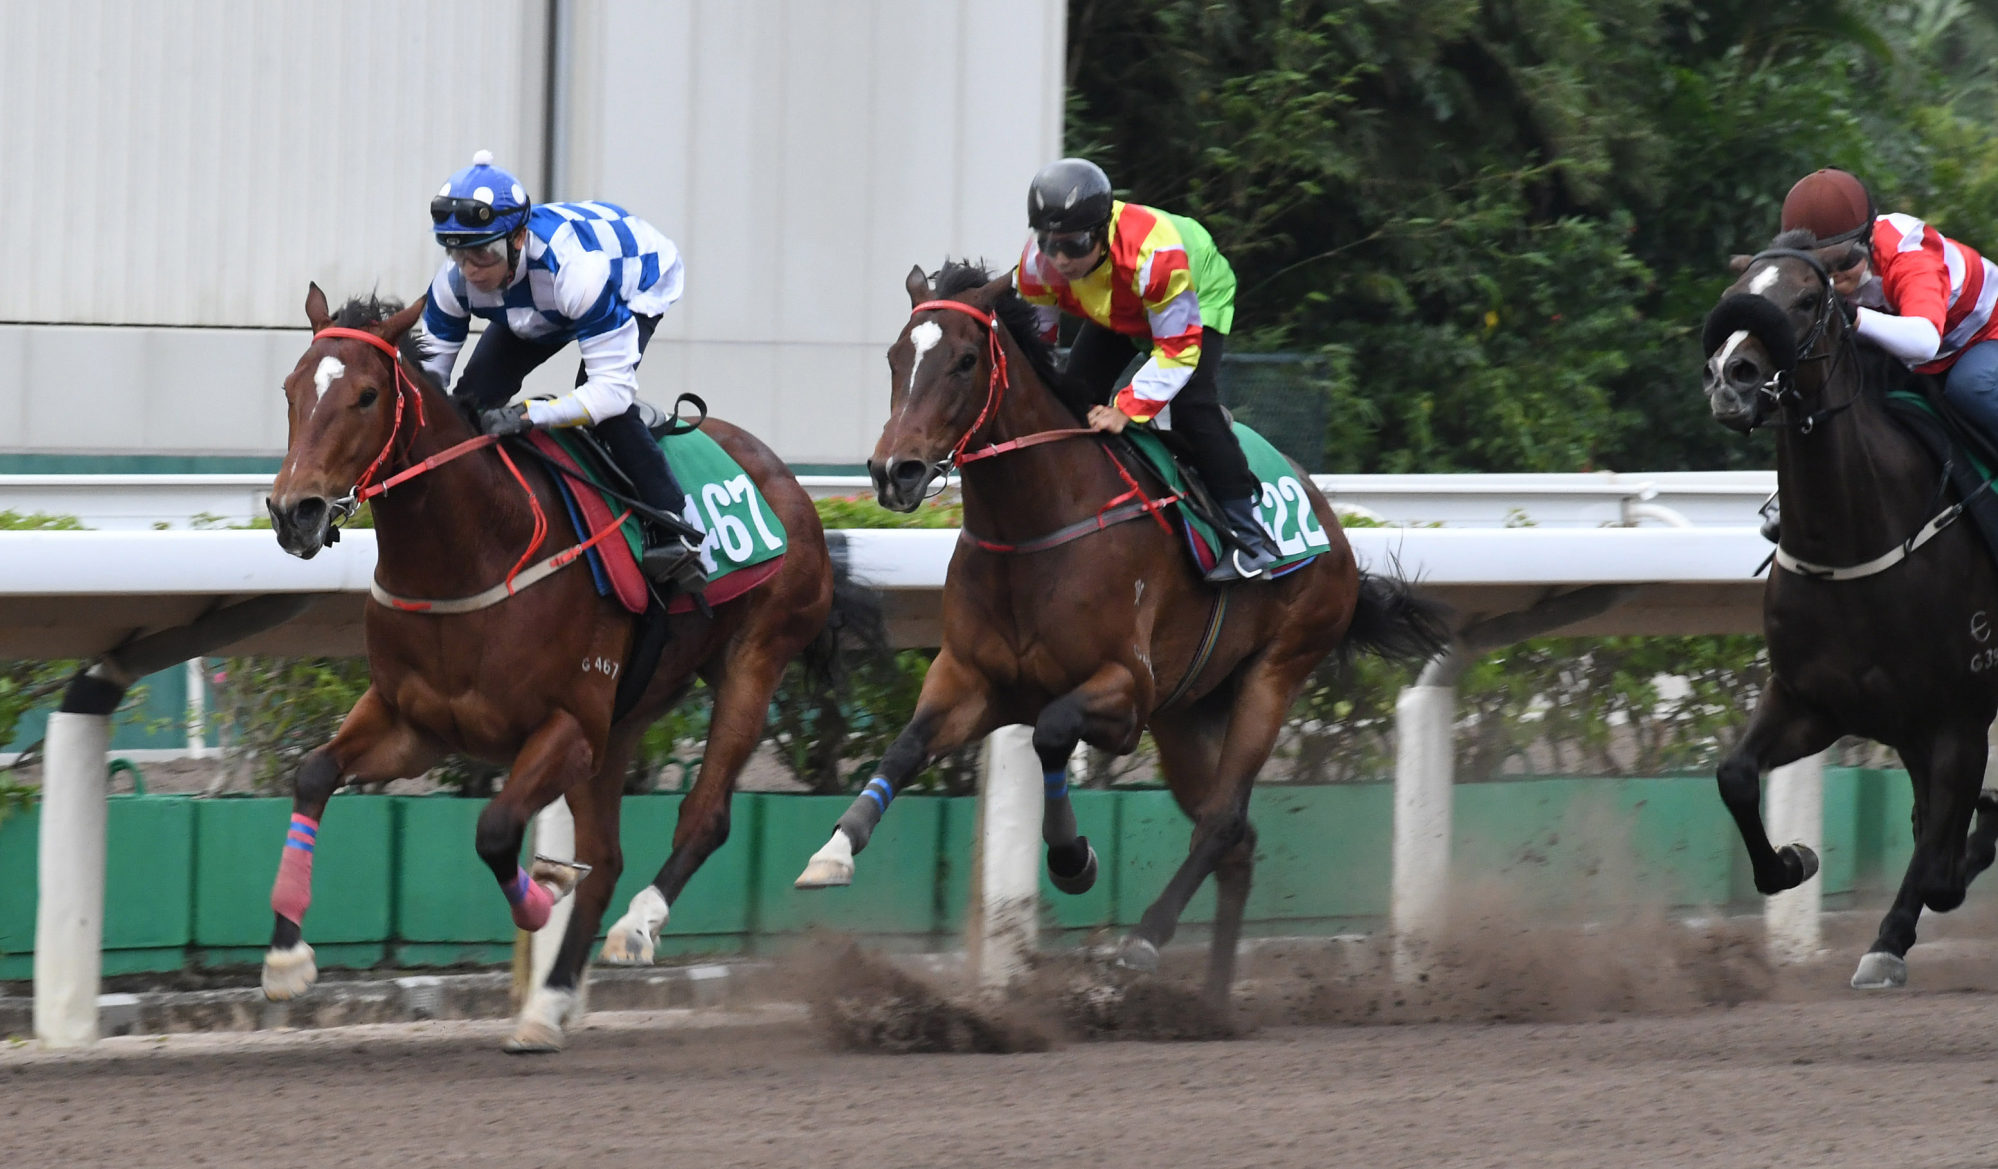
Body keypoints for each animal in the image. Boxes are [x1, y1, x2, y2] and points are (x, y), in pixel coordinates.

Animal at [259, 287, 859, 1055]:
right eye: (291, 389)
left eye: (366, 395)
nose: (293, 513)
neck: (478, 547)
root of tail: (789, 484)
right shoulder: (413, 723)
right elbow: (313, 774)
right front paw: (286, 957)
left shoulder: (567, 727)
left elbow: (494, 829)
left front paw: (541, 895)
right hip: (623, 722)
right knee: (606, 857)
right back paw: (549, 1003)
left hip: (754, 662)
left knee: (705, 817)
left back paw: (636, 926)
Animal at [787, 263, 1446, 1003]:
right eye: (896, 357)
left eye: (963, 360)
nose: (892, 471)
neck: (1037, 524)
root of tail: (1333, 526)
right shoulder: (970, 676)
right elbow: (908, 745)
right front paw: (834, 849)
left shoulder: (1127, 691)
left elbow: (1049, 730)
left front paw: (1073, 858)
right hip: (1186, 715)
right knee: (1238, 842)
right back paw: (1212, 1005)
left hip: (1275, 672)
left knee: (1222, 820)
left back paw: (1144, 940)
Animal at [1702, 232, 1998, 991]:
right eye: (1736, 293)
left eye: (1808, 299)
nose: (1730, 376)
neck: (1855, 535)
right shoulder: (1814, 700)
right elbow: (1735, 776)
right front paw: (1792, 860)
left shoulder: (1960, 714)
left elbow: (1936, 859)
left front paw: (1890, 936)